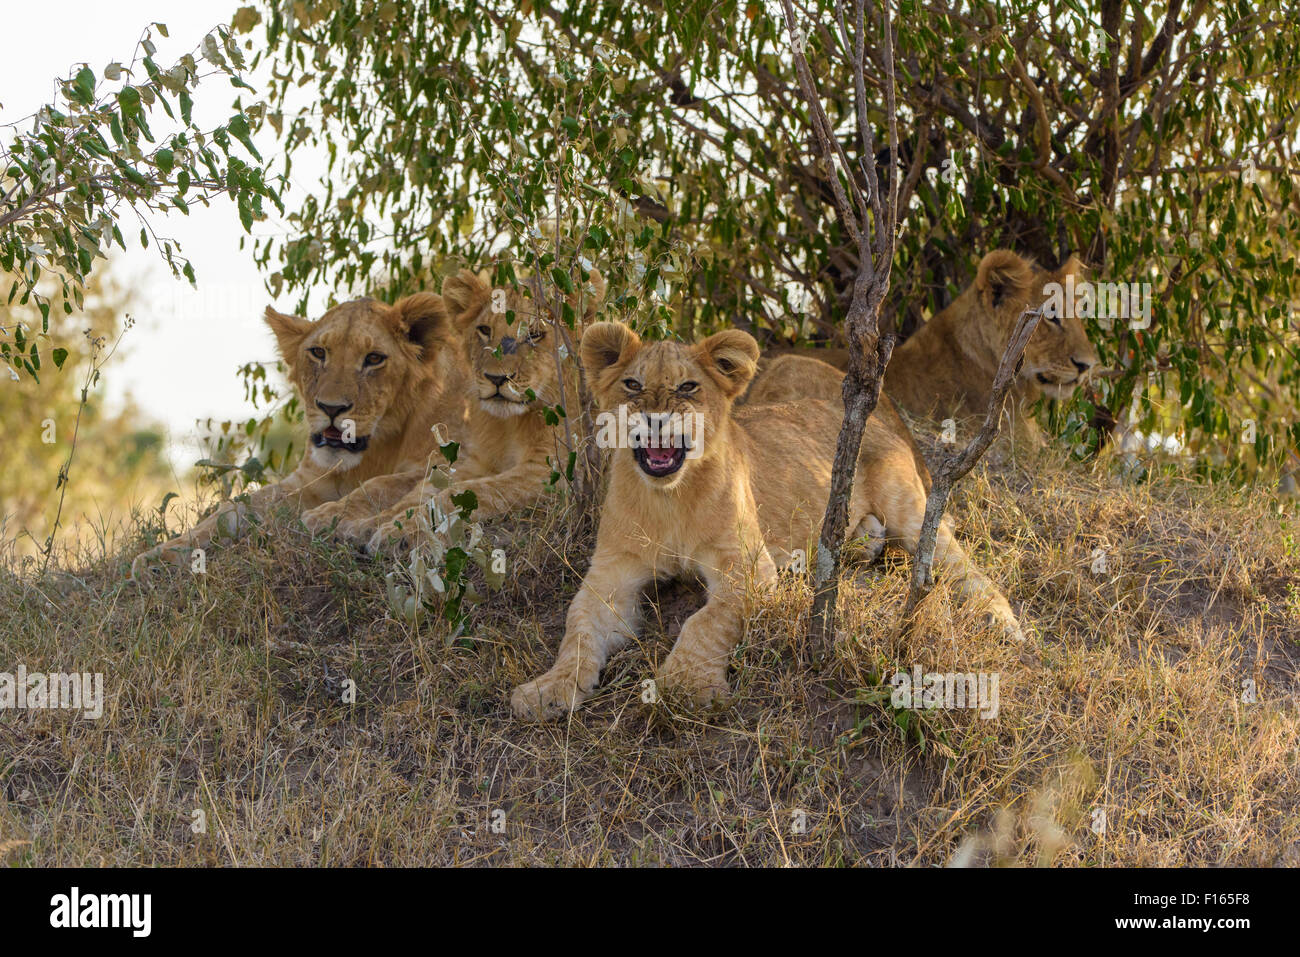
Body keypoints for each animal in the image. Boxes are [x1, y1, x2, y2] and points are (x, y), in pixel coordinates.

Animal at [130, 293, 467, 578]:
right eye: (318, 352)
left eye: (374, 358)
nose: (331, 408)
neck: (378, 446)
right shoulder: (312, 479)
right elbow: (236, 508)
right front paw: (159, 556)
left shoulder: (455, 460)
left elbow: (382, 485)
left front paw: (328, 519)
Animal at [305, 266, 607, 552]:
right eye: (484, 330)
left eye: (534, 335)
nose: (496, 378)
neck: (509, 425)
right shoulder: (475, 461)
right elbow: (409, 490)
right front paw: (351, 522)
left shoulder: (553, 472)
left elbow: (468, 493)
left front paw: (401, 533)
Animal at [510, 322, 1022, 721]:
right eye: (633, 385)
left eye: (688, 387)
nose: (655, 419)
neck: (669, 498)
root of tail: (878, 422)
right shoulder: (611, 576)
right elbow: (577, 628)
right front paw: (548, 690)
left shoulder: (748, 568)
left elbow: (705, 621)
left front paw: (685, 685)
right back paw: (862, 543)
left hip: (911, 512)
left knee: (960, 563)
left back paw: (1002, 622)